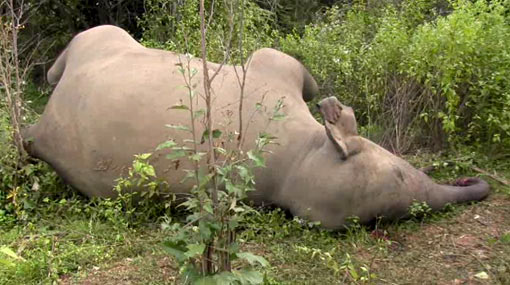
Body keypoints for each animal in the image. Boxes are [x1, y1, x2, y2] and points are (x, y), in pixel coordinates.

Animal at [23, 24, 490, 229]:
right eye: (398, 174)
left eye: (381, 217)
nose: (475, 183)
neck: (302, 154)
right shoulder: (276, 62)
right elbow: (307, 78)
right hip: (101, 36)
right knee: (58, 70)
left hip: (64, 115)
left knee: (33, 131)